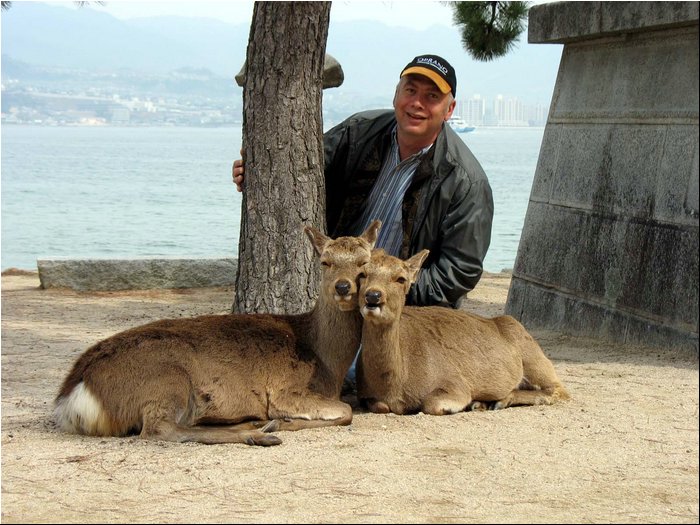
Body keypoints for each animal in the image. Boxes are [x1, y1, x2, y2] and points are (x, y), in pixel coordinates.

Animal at [53, 219, 382, 444]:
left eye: (364, 264)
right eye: (325, 262)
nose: (343, 287)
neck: (325, 362)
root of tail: (71, 395)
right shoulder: (284, 389)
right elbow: (345, 412)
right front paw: (283, 421)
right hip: (166, 379)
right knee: (160, 429)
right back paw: (258, 433)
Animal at [356, 248, 568, 416]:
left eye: (401, 279)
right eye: (362, 274)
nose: (373, 296)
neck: (397, 383)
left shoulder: (455, 383)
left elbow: (432, 404)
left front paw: (465, 403)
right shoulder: (369, 396)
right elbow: (380, 406)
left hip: (535, 359)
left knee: (559, 390)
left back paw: (497, 401)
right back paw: (483, 403)